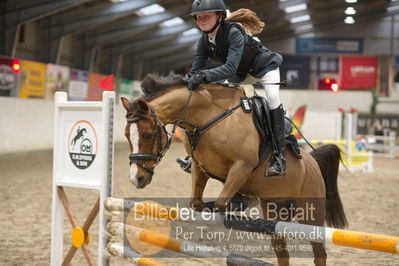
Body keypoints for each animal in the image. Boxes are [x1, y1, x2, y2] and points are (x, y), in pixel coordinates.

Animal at [121, 73, 346, 266]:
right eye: (126, 135)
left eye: (148, 135)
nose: (136, 178)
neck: (207, 117)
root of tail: (312, 162)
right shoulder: (200, 166)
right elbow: (196, 202)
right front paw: (217, 204)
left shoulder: (242, 166)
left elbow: (222, 203)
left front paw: (237, 203)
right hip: (276, 212)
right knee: (282, 252)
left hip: (311, 213)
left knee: (319, 253)